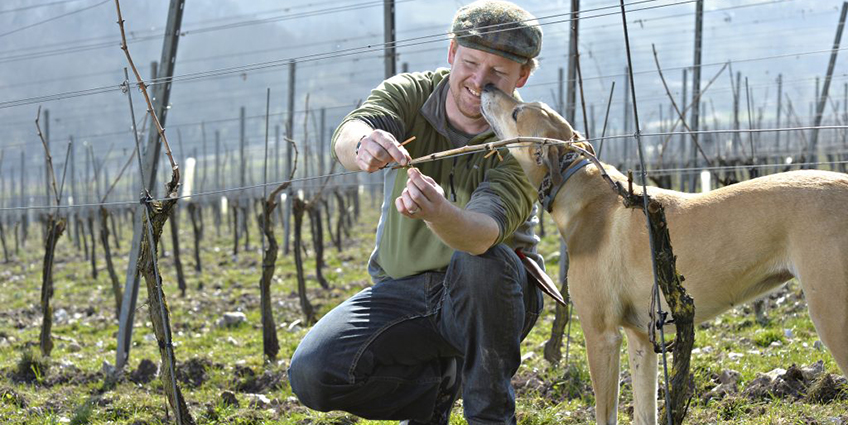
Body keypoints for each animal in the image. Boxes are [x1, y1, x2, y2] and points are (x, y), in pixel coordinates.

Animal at [480, 85, 844, 424]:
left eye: (517, 113)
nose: (487, 86)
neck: (583, 190)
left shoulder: (601, 335)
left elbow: (605, 413)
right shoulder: (641, 338)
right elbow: (644, 412)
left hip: (832, 315)